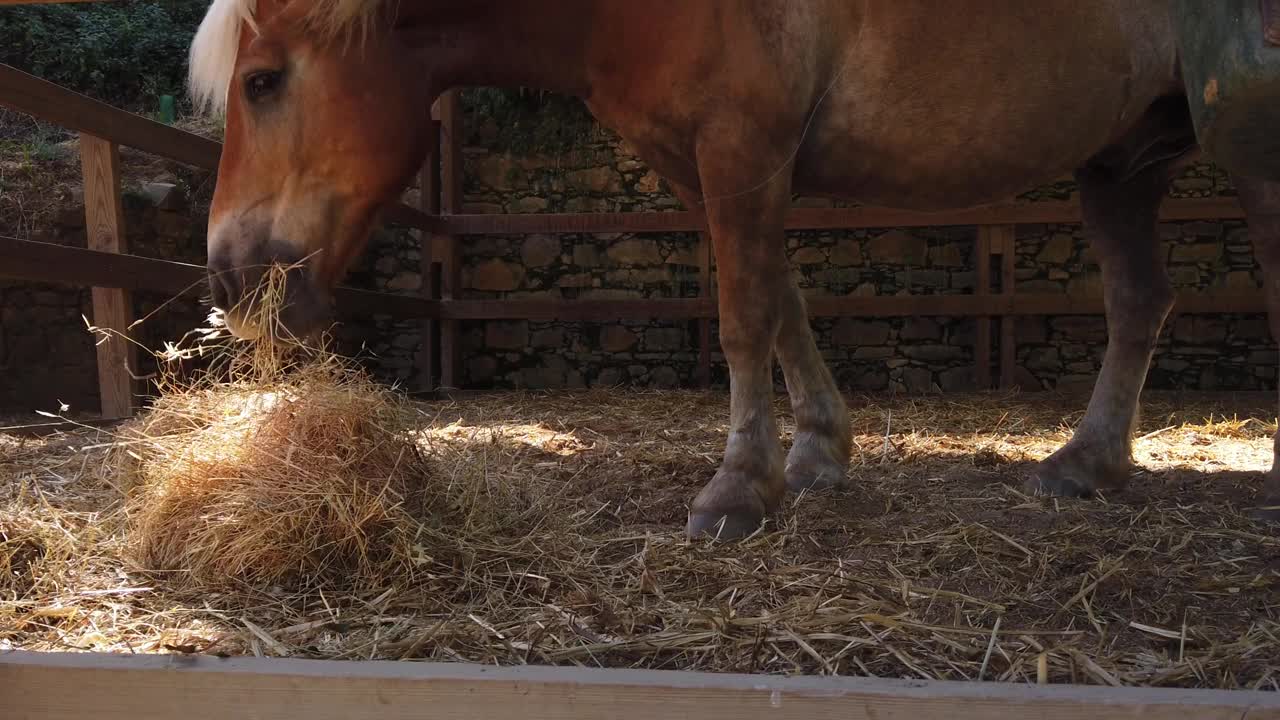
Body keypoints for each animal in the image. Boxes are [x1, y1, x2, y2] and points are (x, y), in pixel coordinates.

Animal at [189, 1, 1280, 538]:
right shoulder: (711, 164)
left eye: (263, 81)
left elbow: (743, 317)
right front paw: (816, 452)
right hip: (1123, 159)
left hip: (1245, 132)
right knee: (1139, 300)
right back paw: (1086, 466)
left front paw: (737, 490)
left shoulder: (742, 147)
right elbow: (779, 298)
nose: (229, 280)